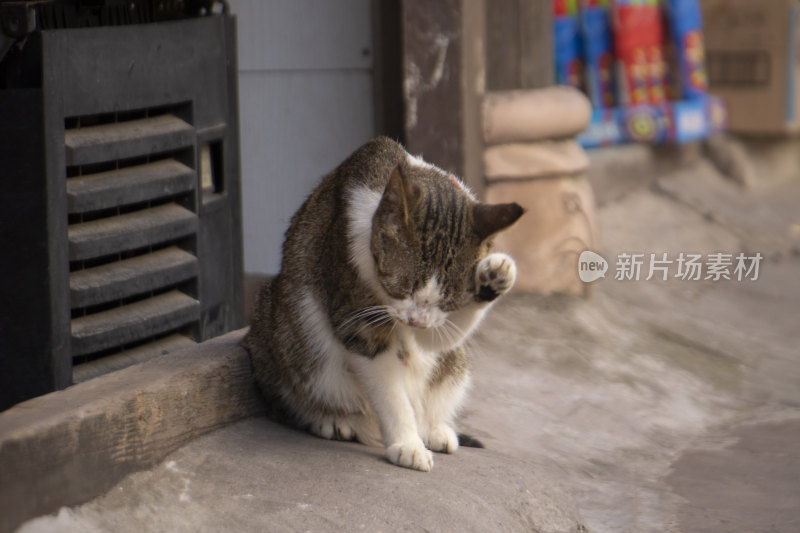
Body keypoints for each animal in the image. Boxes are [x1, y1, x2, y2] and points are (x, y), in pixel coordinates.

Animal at [241, 136, 520, 470]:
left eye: (448, 300)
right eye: (403, 288)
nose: (417, 321)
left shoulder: (432, 326)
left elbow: (437, 339)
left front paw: (496, 275)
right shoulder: (358, 317)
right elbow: (391, 394)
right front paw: (407, 444)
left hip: (455, 367)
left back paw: (435, 428)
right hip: (275, 327)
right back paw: (333, 421)